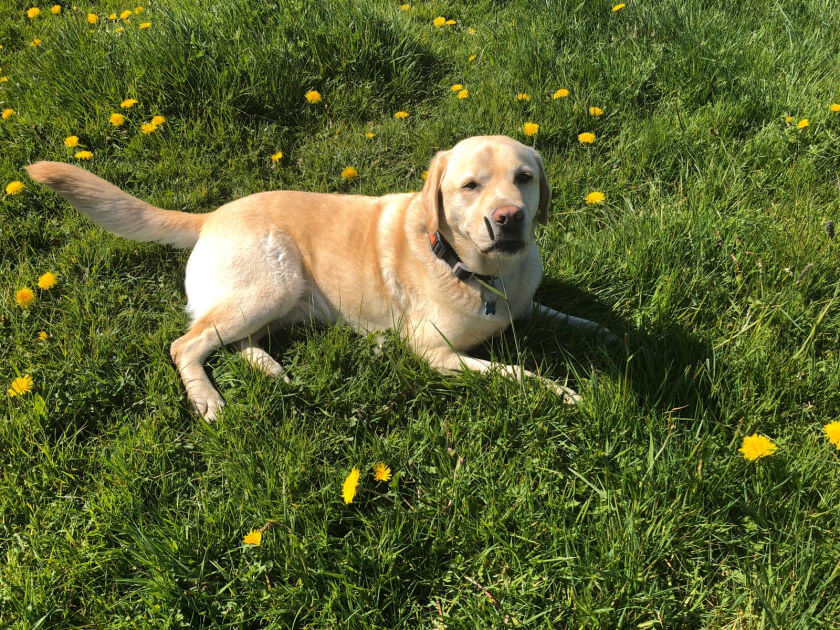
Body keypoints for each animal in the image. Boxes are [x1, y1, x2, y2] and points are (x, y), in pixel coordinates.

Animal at [26, 136, 612, 422]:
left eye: (525, 178)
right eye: (470, 186)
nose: (510, 217)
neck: (486, 276)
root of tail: (210, 216)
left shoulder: (528, 304)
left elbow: (569, 317)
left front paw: (608, 333)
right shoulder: (434, 353)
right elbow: (517, 372)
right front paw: (564, 394)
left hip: (277, 302)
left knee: (231, 341)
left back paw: (269, 367)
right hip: (273, 282)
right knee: (185, 344)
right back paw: (207, 399)